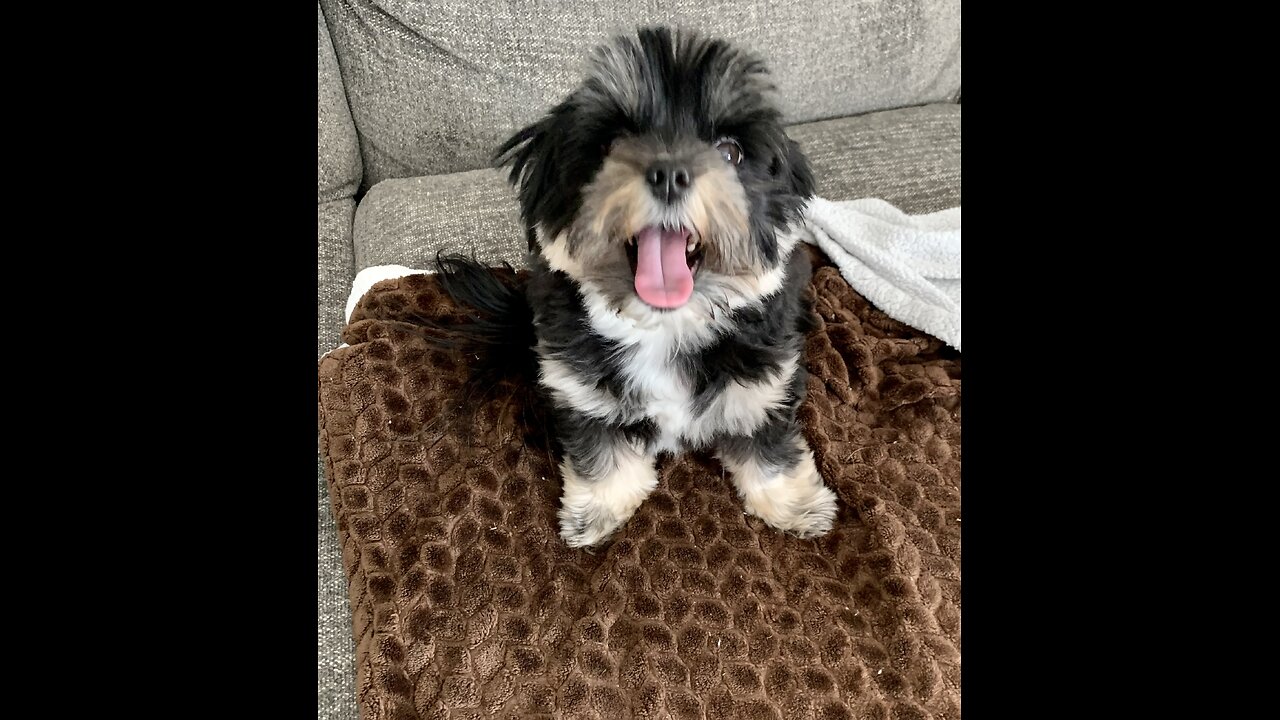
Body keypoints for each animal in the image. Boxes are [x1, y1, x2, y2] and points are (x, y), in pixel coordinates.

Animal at [437, 26, 839, 543]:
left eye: (730, 151)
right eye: (612, 144)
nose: (669, 173)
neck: (665, 329)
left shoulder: (764, 382)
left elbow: (767, 442)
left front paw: (795, 504)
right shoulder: (580, 386)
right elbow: (602, 448)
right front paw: (599, 507)